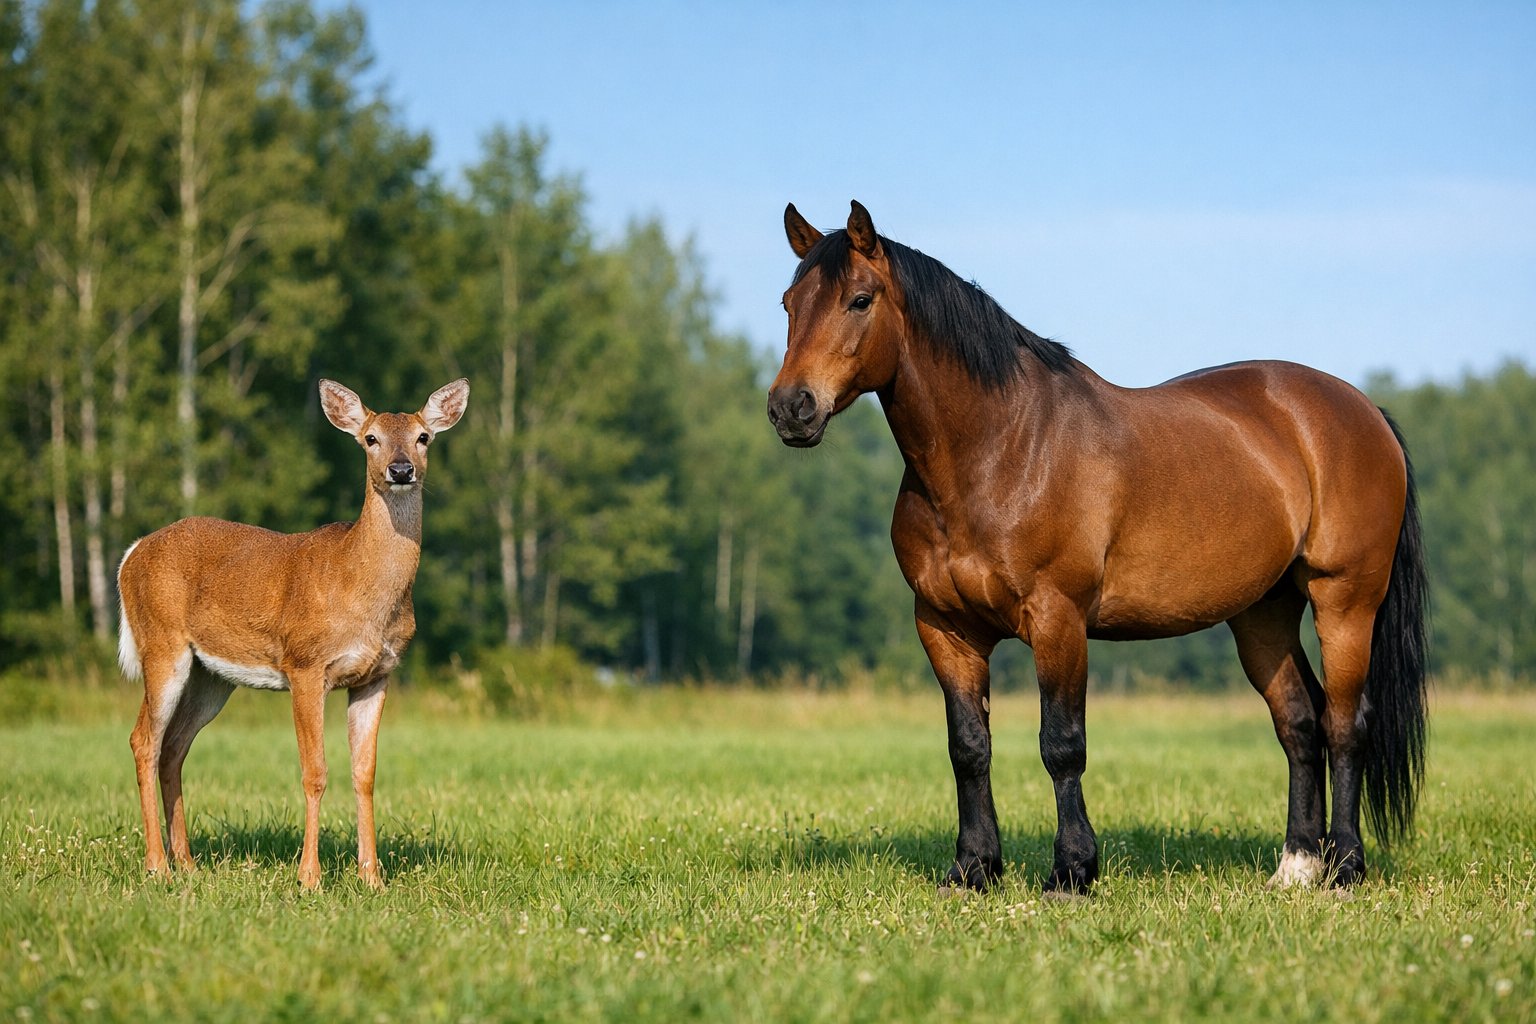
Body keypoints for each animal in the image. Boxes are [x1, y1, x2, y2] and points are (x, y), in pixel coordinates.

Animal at [117, 377, 469, 889]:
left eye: (423, 437)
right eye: (371, 438)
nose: (401, 470)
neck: (358, 584)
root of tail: (132, 552)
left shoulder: (377, 674)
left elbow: (365, 773)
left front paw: (372, 877)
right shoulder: (305, 663)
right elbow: (314, 771)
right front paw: (309, 877)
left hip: (211, 676)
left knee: (173, 747)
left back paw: (187, 863)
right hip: (161, 644)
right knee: (144, 740)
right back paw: (157, 866)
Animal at [767, 201, 1427, 895]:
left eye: (859, 299)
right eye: (789, 303)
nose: (791, 407)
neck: (1001, 449)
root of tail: (1363, 411)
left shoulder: (1057, 619)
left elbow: (1062, 745)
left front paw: (1072, 870)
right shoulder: (945, 628)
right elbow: (969, 747)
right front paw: (973, 868)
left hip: (1345, 602)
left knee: (1345, 724)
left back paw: (1346, 866)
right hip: (1262, 613)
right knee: (1300, 722)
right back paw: (1297, 866)